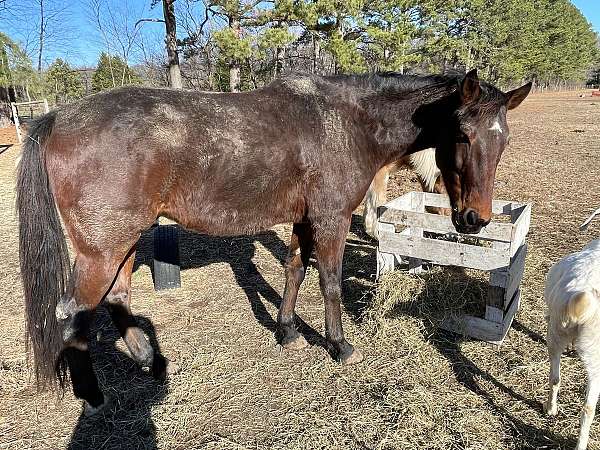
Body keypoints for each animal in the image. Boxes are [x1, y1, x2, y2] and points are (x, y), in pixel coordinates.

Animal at [16, 69, 528, 414]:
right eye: (463, 135)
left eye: (503, 142)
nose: (474, 220)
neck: (347, 123)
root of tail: (57, 118)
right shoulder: (330, 221)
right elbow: (330, 283)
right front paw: (339, 345)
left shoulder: (304, 222)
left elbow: (294, 271)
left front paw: (285, 330)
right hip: (100, 251)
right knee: (72, 314)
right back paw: (93, 394)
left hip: (121, 243)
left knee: (117, 298)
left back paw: (150, 361)